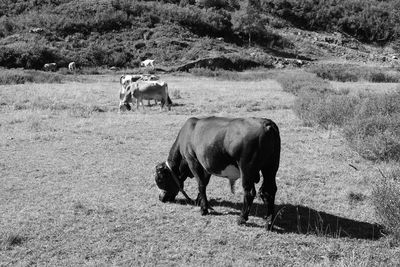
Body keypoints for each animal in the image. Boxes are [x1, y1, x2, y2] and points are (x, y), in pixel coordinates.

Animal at [154, 116, 282, 229]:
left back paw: (242, 218)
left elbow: (200, 184)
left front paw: (204, 209)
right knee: (269, 191)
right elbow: (204, 184)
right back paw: (268, 222)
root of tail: (266, 123)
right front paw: (200, 202)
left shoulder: (193, 161)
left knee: (250, 192)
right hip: (271, 167)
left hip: (247, 169)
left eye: (160, 179)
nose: (160, 198)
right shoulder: (206, 166)